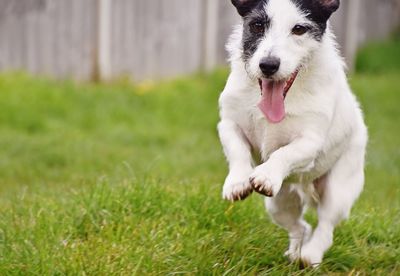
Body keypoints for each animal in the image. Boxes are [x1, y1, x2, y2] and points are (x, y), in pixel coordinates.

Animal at [219, 0, 368, 268]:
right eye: (257, 25)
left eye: (299, 29)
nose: (268, 65)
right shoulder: (229, 123)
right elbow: (238, 150)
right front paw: (237, 181)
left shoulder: (309, 142)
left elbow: (283, 154)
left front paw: (266, 175)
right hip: (279, 202)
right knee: (301, 227)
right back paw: (295, 252)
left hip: (339, 189)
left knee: (326, 226)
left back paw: (310, 255)